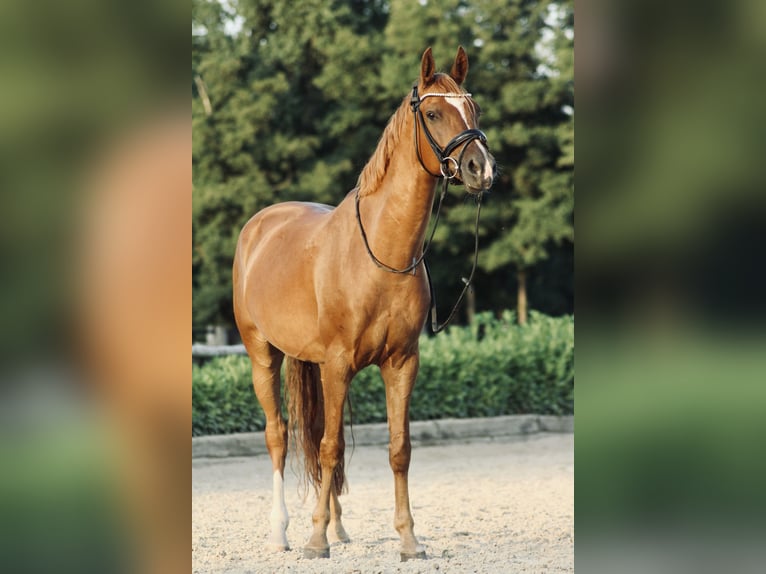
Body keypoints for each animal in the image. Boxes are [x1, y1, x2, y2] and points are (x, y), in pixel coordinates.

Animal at [232, 46, 498, 564]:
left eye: (474, 109)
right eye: (433, 114)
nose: (482, 169)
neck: (382, 254)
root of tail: (259, 226)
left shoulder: (400, 364)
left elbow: (397, 449)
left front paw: (409, 540)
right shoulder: (337, 363)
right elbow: (331, 446)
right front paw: (314, 541)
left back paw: (338, 527)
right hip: (262, 355)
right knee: (279, 436)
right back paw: (282, 531)